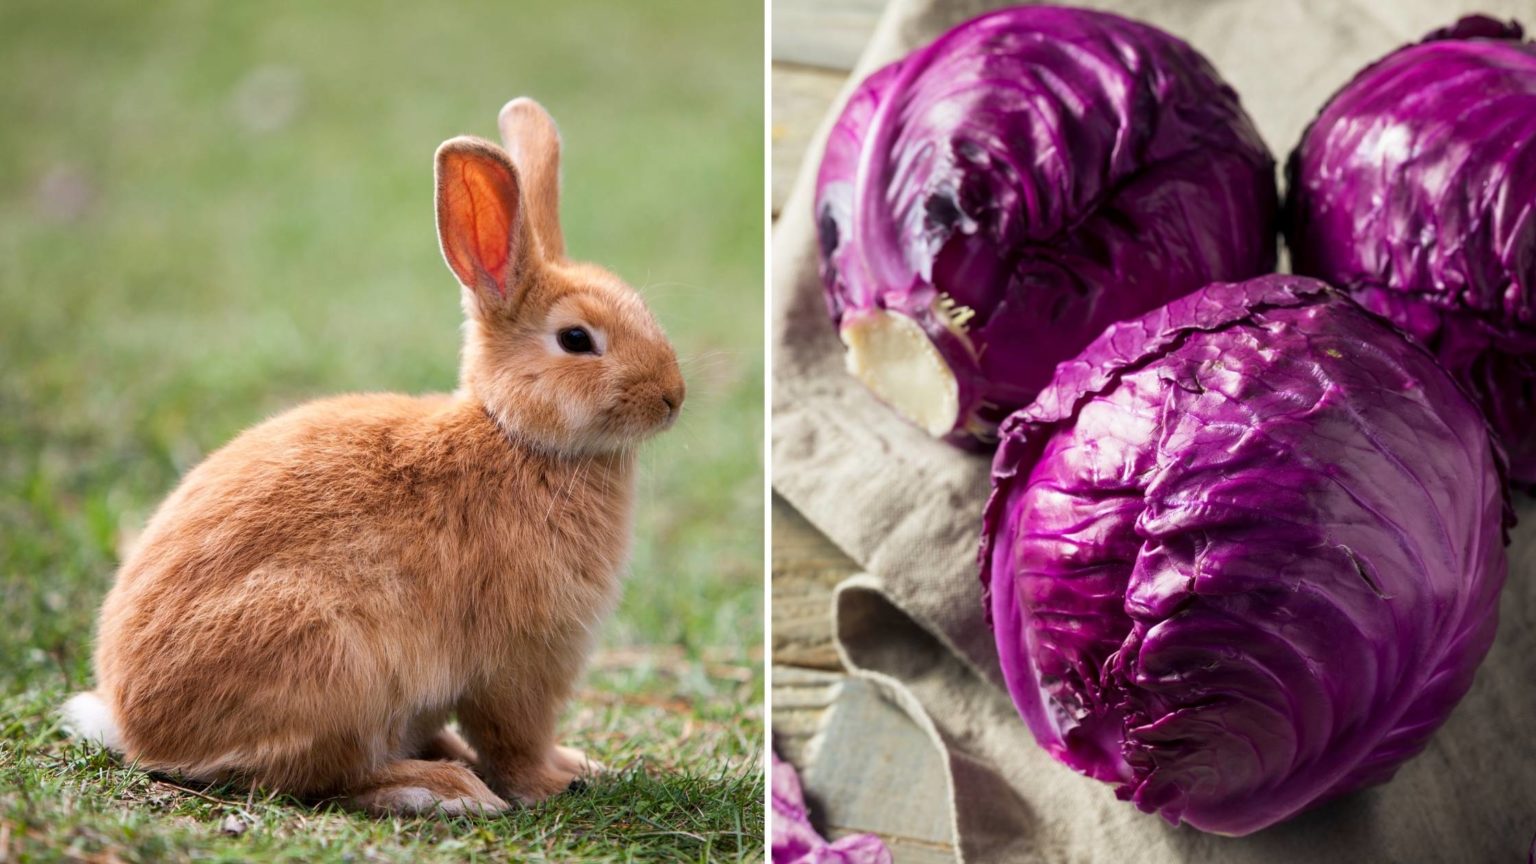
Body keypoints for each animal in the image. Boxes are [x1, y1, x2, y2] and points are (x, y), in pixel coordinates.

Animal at [59, 97, 685, 815]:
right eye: (576, 339)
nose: (673, 397)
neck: (517, 436)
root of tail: (140, 728)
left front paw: (579, 764)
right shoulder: (519, 665)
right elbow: (514, 739)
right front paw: (554, 781)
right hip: (332, 662)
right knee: (319, 774)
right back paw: (442, 788)